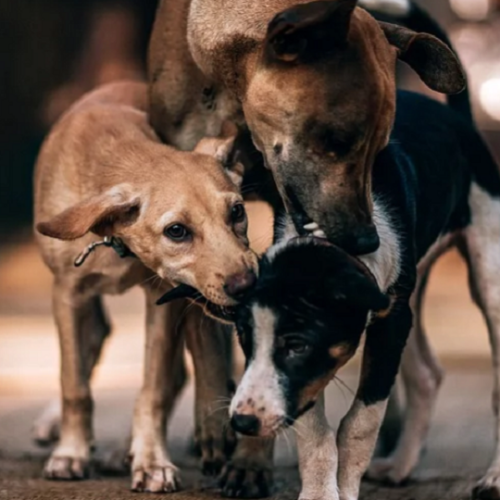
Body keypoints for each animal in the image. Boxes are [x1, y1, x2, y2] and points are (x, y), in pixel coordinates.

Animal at [34, 81, 258, 492]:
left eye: (237, 212)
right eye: (176, 231)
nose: (247, 284)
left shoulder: (163, 297)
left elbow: (152, 390)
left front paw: (151, 460)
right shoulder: (67, 294)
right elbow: (74, 384)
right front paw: (71, 453)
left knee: (174, 375)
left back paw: (126, 450)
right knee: (92, 346)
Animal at [226, 92, 500, 500]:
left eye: (296, 345)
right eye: (245, 339)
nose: (243, 422)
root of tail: (457, 116)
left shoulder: (390, 322)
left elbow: (360, 422)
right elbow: (315, 431)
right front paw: (320, 493)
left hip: (488, 275)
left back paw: (493, 478)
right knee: (426, 375)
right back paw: (401, 465)